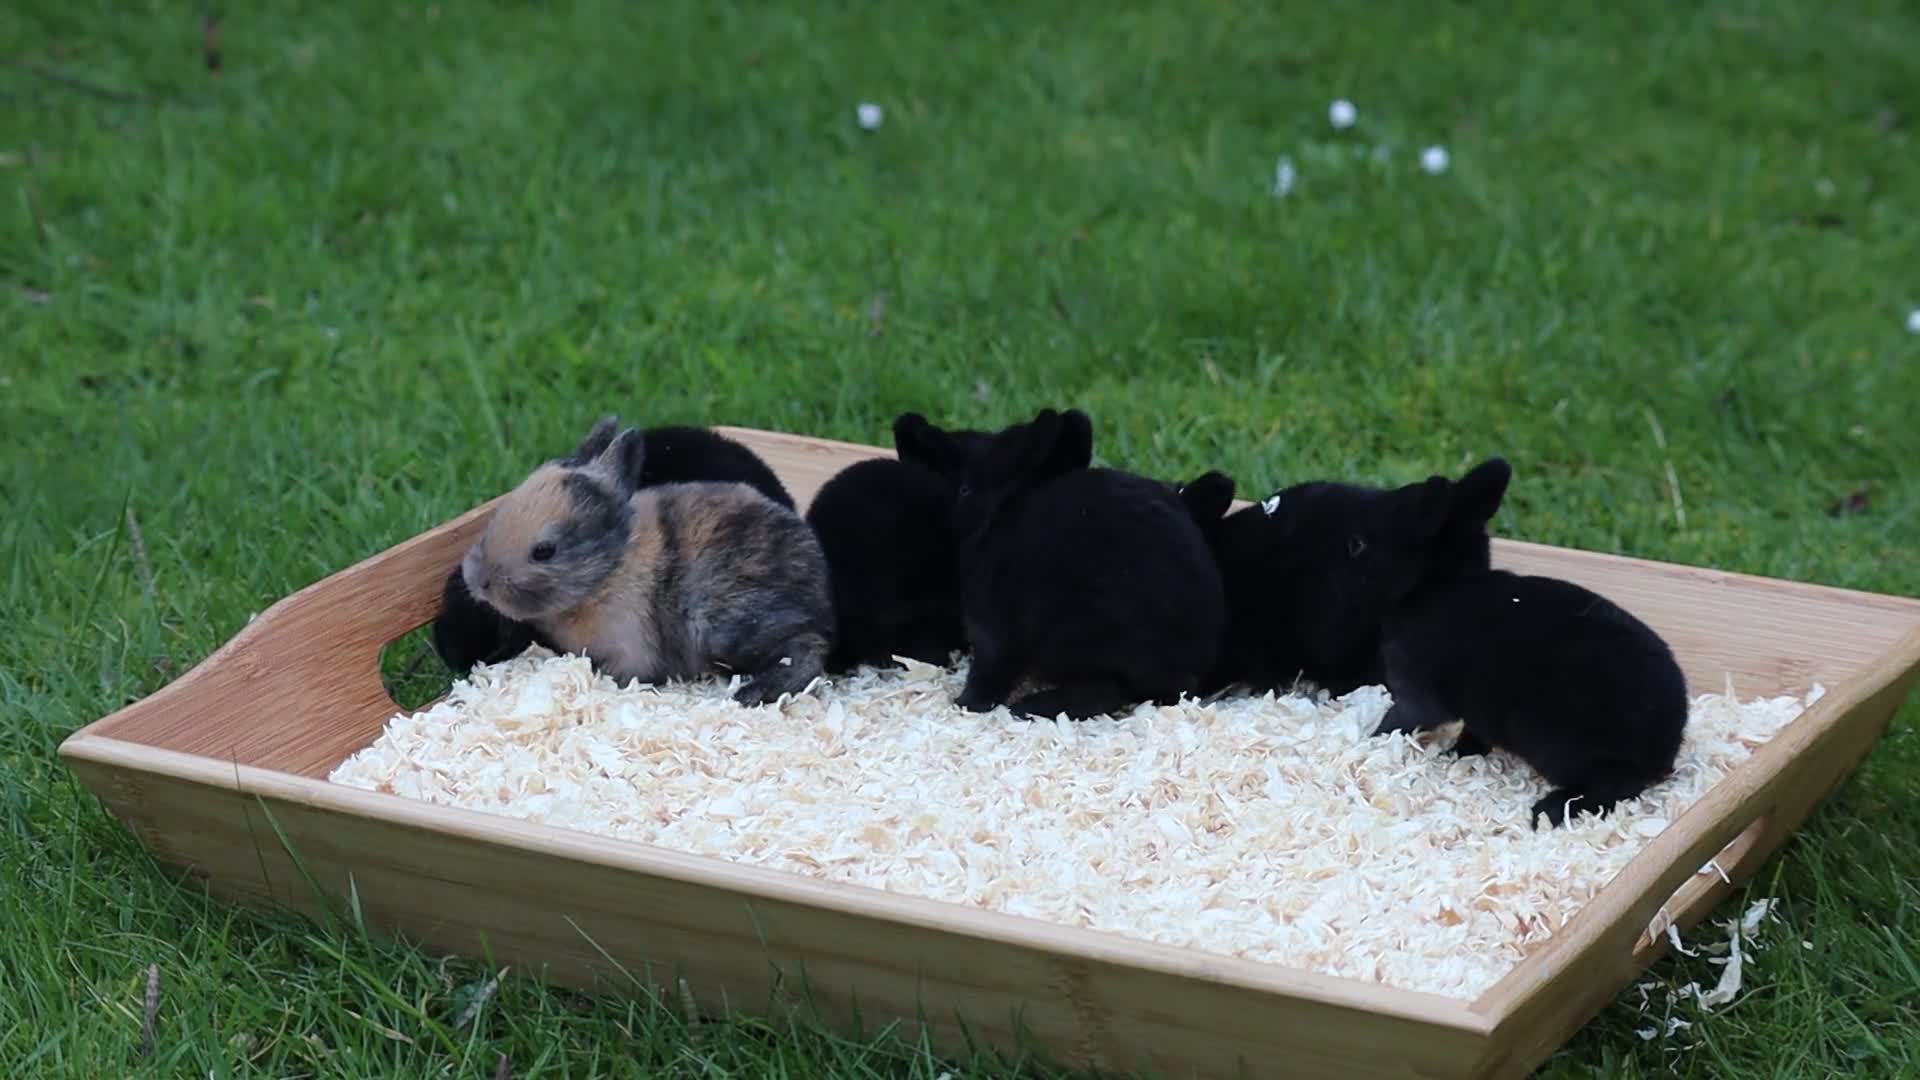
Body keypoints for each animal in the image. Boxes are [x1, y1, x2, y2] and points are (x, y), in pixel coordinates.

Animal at [458, 417, 835, 707]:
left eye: (544, 551)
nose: (476, 580)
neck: (610, 570)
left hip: (729, 625)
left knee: (806, 652)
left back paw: (753, 693)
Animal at [916, 407, 1227, 721]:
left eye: (966, 489)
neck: (999, 514)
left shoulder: (992, 631)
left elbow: (987, 673)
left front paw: (965, 704)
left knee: (1105, 691)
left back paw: (1029, 707)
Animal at [1374, 569, 1690, 828]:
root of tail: (1665, 742)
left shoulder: (1417, 694)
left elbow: (1398, 720)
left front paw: (1374, 739)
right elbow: (1472, 733)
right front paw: (1459, 754)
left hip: (1553, 745)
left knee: (1612, 787)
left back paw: (1548, 811)